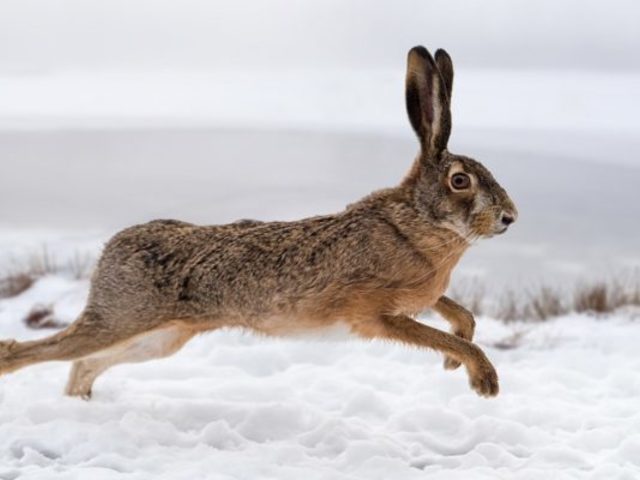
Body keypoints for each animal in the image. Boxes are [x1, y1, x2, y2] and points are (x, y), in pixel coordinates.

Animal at [0, 46, 517, 399]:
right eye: (460, 180)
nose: (510, 217)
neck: (415, 222)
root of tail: (113, 247)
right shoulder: (374, 314)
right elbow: (436, 331)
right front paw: (482, 379)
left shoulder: (420, 296)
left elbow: (460, 313)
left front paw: (452, 361)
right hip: (121, 318)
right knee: (32, 353)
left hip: (163, 337)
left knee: (83, 366)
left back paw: (82, 404)